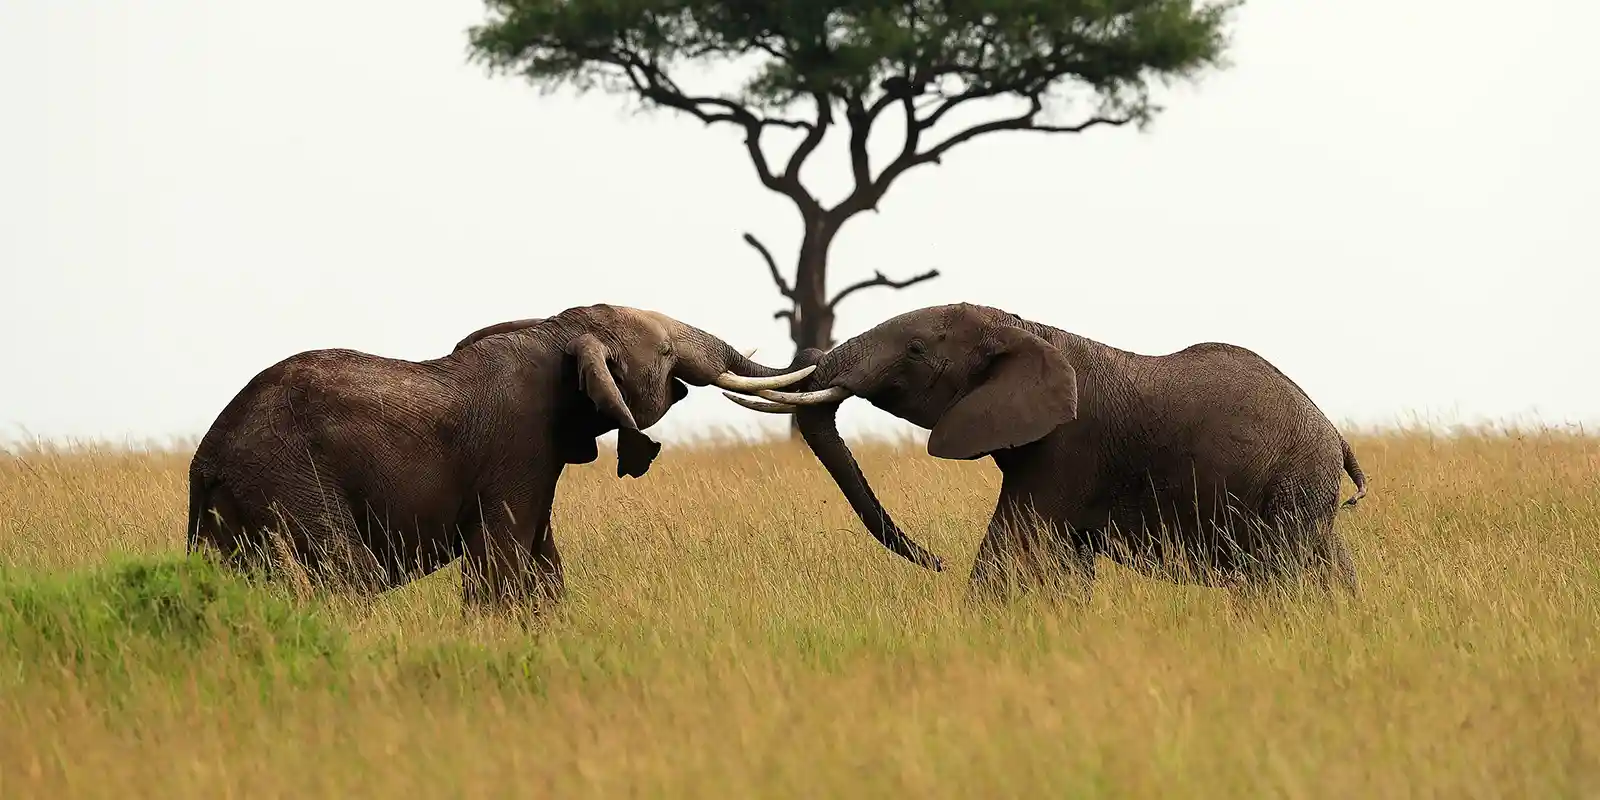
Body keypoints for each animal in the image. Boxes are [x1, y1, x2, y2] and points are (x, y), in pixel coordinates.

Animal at [184, 303, 815, 611]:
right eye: (663, 353)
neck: (558, 332)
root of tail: (207, 457)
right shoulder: (519, 446)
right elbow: (502, 559)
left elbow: (545, 562)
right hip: (289, 475)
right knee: (351, 574)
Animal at [722, 302, 1369, 604]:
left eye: (914, 350)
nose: (937, 562)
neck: (1021, 325)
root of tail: (1336, 437)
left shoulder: (1070, 444)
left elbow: (1017, 546)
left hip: (1291, 488)